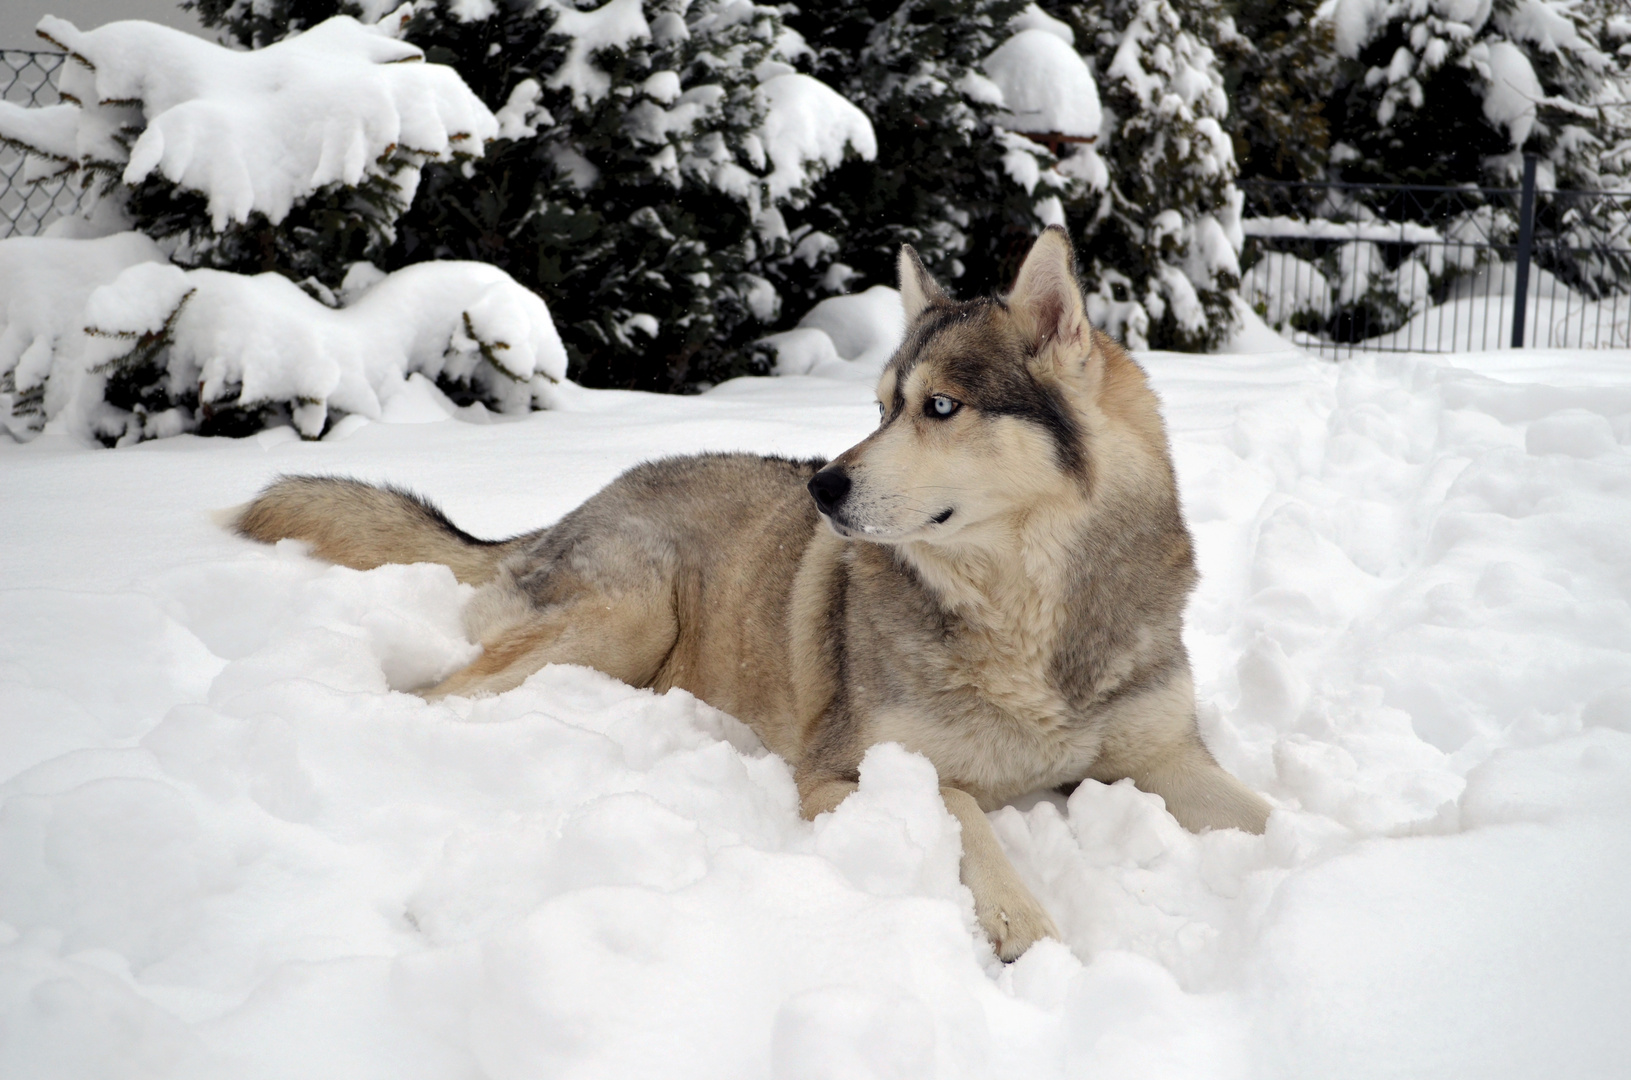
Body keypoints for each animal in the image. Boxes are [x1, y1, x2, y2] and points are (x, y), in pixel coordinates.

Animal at [233, 230, 1272, 965]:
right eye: (881, 407)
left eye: (939, 407)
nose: (822, 486)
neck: (1027, 616)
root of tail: (569, 508)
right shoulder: (848, 775)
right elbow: (968, 817)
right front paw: (1029, 928)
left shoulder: (1164, 756)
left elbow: (1270, 821)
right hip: (626, 619)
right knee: (437, 692)